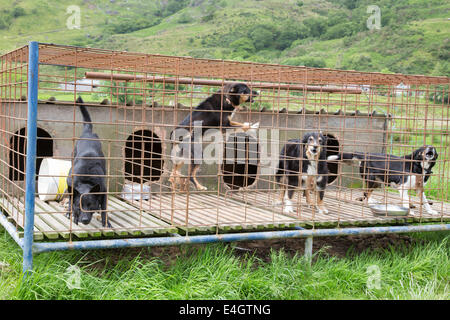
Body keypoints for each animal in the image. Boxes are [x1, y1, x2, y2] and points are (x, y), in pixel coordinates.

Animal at [66, 97, 111, 228]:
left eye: (90, 205)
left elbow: (104, 208)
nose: (85, 220)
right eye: (79, 206)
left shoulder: (104, 190)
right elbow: (71, 201)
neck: (85, 180)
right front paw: (74, 215)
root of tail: (88, 133)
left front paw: (106, 222)